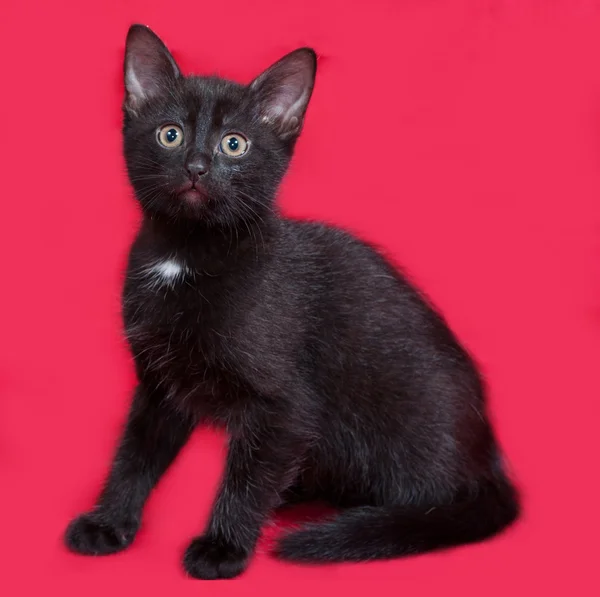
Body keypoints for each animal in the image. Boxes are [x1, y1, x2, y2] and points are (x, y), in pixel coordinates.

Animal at [64, 25, 516, 580]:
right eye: (170, 134)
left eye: (234, 144)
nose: (197, 166)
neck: (186, 253)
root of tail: (489, 461)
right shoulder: (159, 385)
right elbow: (134, 455)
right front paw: (109, 523)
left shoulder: (286, 406)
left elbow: (245, 478)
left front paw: (223, 548)